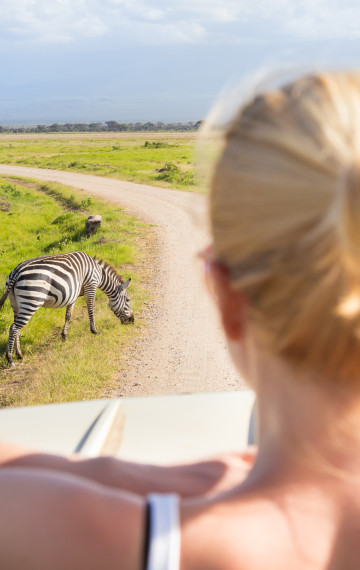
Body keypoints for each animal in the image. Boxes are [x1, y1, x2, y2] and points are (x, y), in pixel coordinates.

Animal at [0, 251, 134, 366]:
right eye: (128, 300)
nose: (132, 321)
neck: (99, 273)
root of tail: (17, 271)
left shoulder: (73, 294)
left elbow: (68, 315)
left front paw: (64, 336)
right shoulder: (91, 285)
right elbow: (91, 309)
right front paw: (94, 331)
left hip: (16, 303)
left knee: (16, 328)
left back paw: (19, 355)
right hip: (31, 300)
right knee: (14, 328)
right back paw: (10, 359)